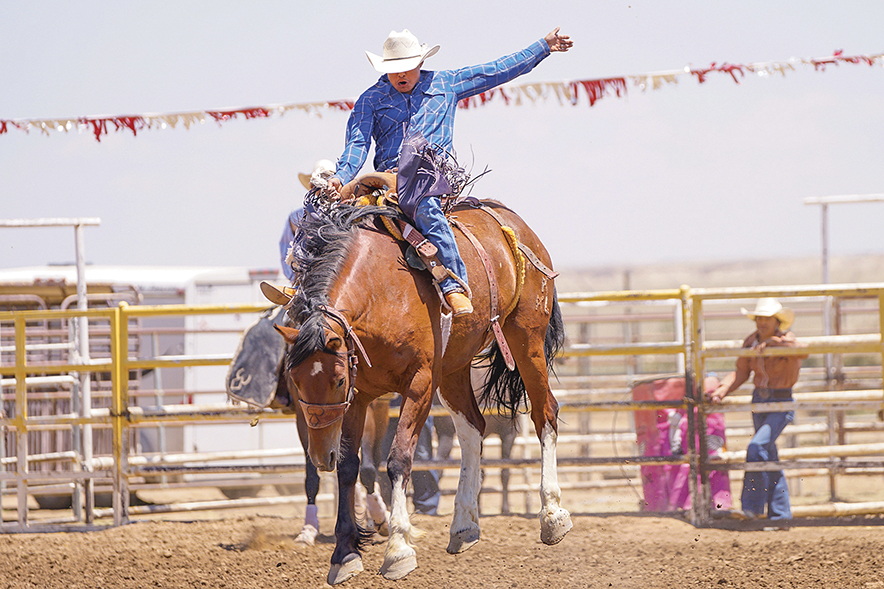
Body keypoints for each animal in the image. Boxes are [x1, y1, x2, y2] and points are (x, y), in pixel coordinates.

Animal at [272, 195, 568, 580]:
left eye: (337, 380)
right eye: (295, 380)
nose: (321, 457)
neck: (379, 291)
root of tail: (512, 221)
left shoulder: (420, 382)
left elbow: (398, 459)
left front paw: (398, 549)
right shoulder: (361, 395)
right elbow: (351, 466)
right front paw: (344, 554)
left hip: (526, 339)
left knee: (545, 413)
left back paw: (552, 516)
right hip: (455, 367)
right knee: (473, 429)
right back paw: (463, 526)